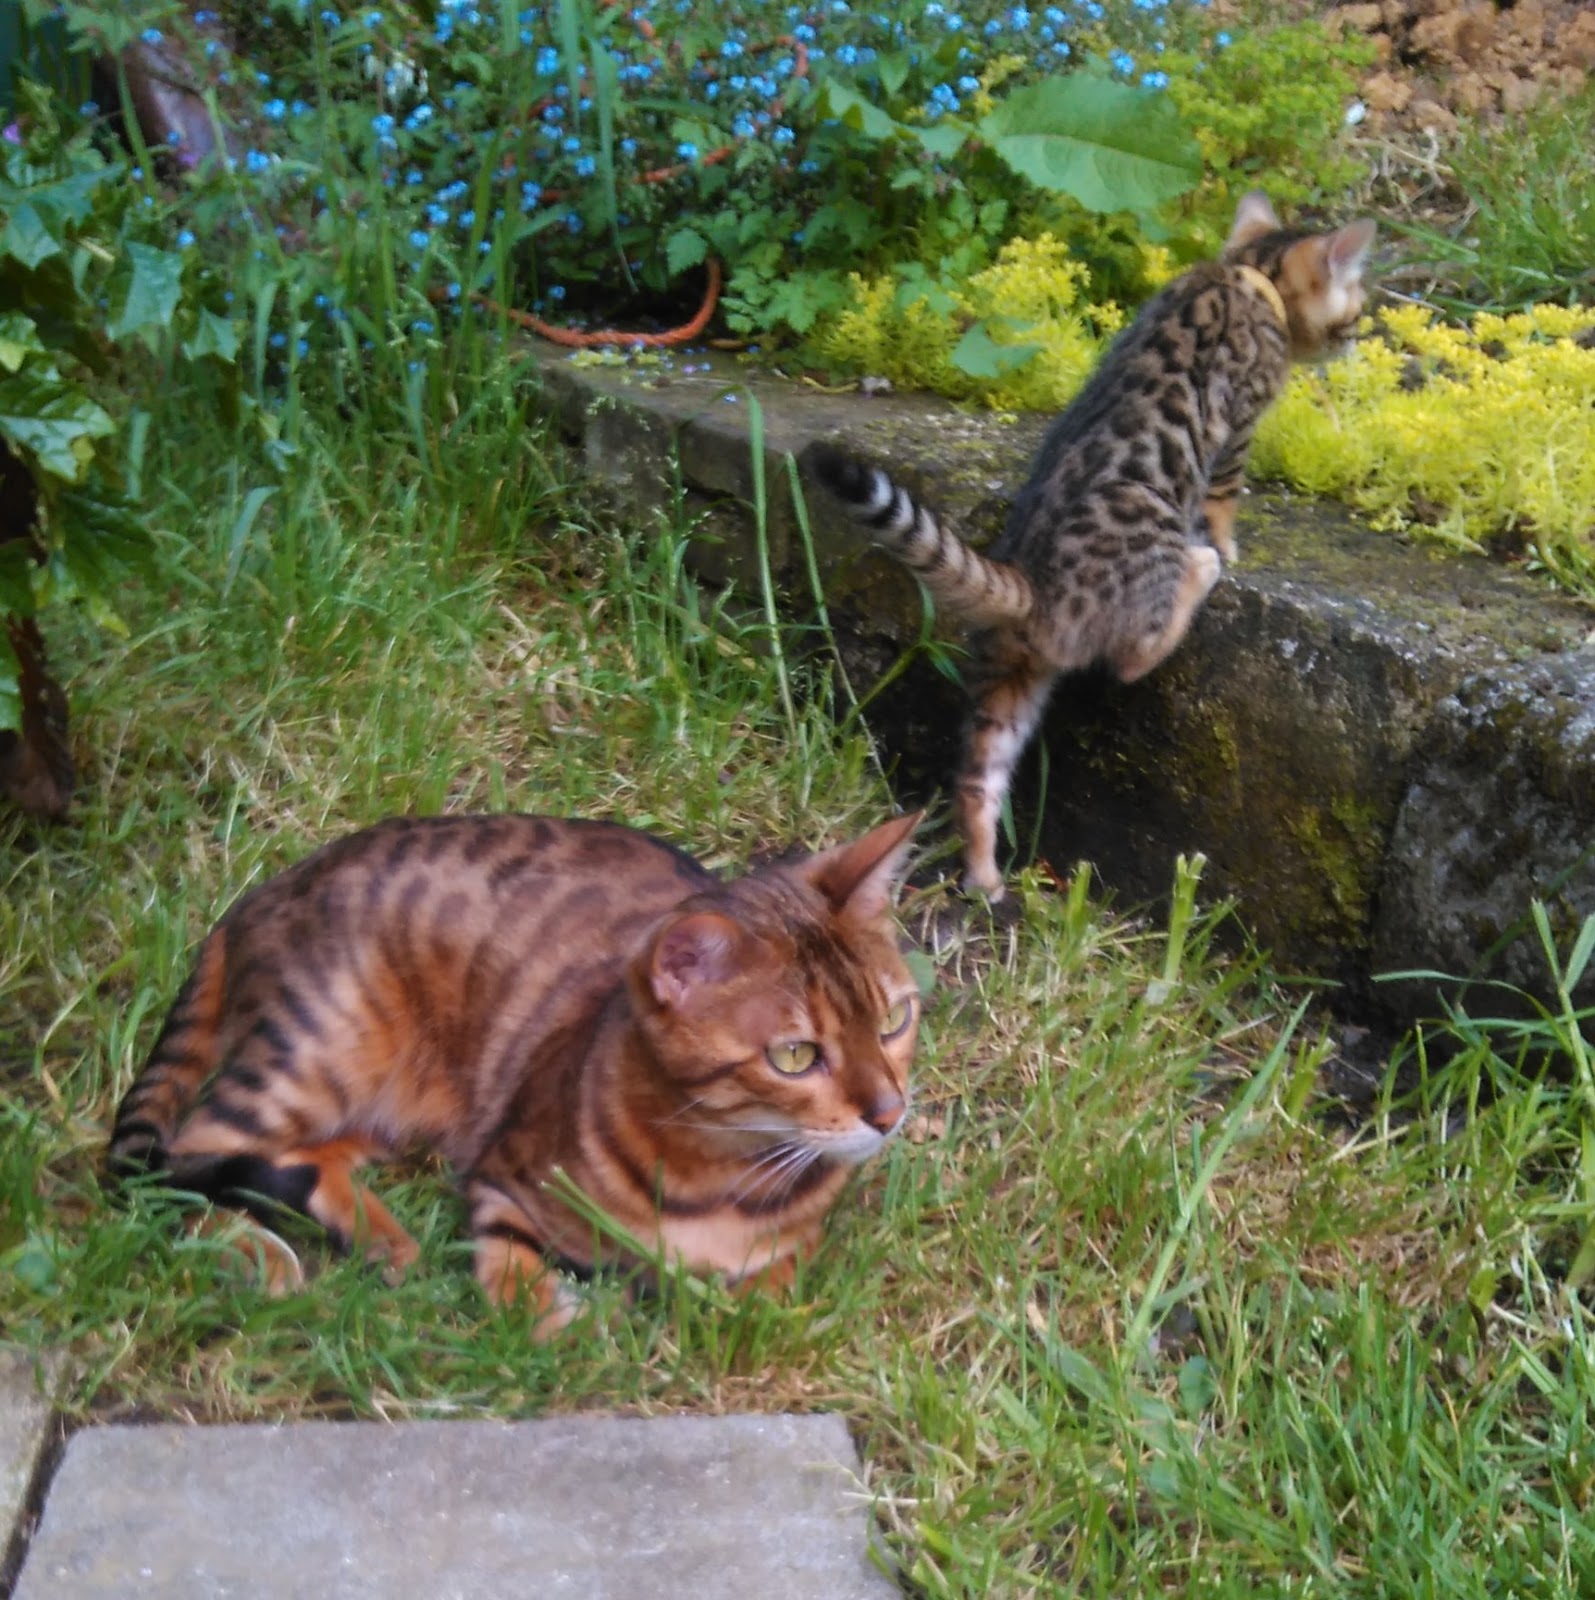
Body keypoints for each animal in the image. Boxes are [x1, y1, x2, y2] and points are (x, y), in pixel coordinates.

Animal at [109, 810, 922, 1334]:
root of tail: (256, 894)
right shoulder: (503, 1180)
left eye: (893, 1021)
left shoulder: (790, 1254)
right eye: (796, 1056)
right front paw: (567, 1329)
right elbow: (517, 1287)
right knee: (170, 1159)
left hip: (395, 1104)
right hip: (321, 1048)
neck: (718, 1173)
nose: (889, 1112)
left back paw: (381, 1239)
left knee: (295, 1155)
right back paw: (257, 1252)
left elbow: (764, 1296)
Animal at [805, 191, 1376, 898]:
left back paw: (985, 877)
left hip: (1011, 680)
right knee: (1135, 655)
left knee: (976, 780)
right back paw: (1199, 568)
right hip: (1143, 552)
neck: (1250, 272)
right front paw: (1226, 544)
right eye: (1354, 311)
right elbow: (1223, 499)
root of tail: (1032, 583)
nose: (1356, 342)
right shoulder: (1239, 425)